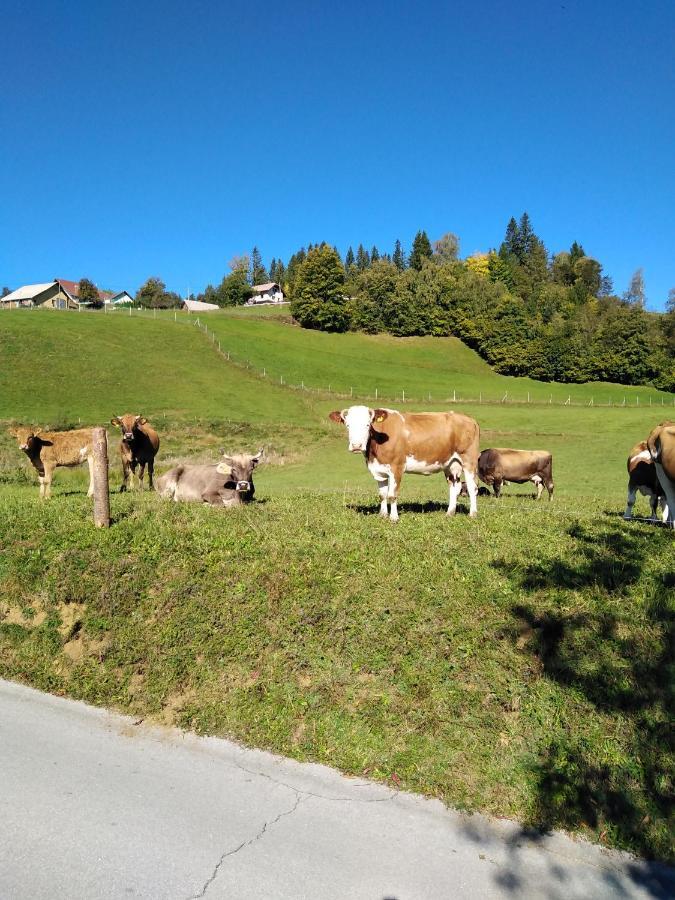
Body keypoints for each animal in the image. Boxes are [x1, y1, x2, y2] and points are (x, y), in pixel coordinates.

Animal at [328, 406, 480, 524]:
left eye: (367, 424)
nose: (356, 446)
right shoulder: (378, 470)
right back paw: (450, 513)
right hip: (451, 464)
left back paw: (473, 514)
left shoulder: (397, 467)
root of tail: (468, 418)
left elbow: (392, 495)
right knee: (455, 487)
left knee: (472, 487)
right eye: (348, 425)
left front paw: (394, 518)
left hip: (469, 460)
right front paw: (382, 515)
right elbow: (382, 494)